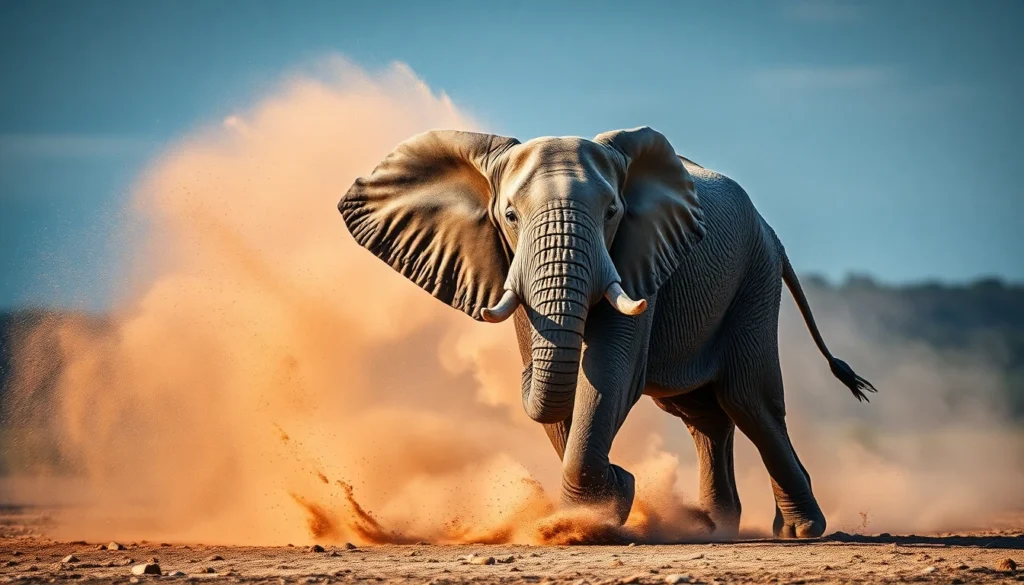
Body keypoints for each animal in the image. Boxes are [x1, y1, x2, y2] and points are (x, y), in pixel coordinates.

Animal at [337, 127, 876, 539]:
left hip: (754, 276)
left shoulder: (641, 256)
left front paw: (607, 504)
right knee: (701, 413)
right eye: (509, 215)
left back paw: (800, 530)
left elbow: (610, 371)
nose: (623, 474)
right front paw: (600, 507)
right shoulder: (514, 263)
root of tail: (772, 233)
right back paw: (714, 527)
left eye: (613, 212)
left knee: (748, 399)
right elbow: (566, 384)